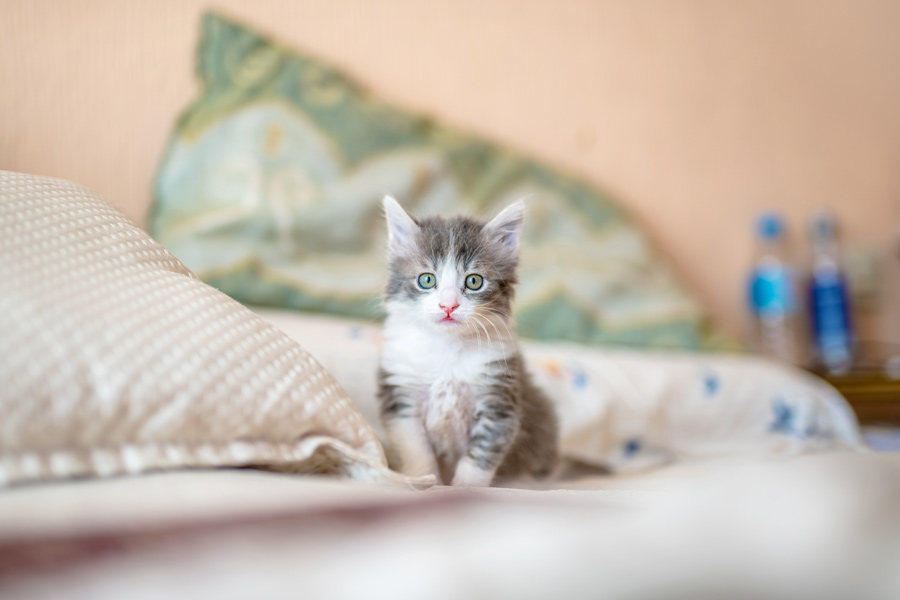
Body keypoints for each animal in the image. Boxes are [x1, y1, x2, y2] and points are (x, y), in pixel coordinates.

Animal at [376, 197, 560, 488]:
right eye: (426, 279)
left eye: (474, 281)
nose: (448, 305)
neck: (447, 349)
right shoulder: (401, 398)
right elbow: (417, 451)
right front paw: (424, 481)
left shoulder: (498, 402)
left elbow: (478, 459)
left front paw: (463, 489)